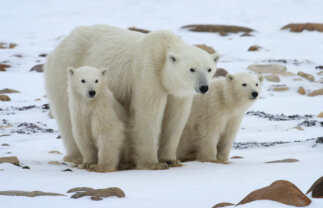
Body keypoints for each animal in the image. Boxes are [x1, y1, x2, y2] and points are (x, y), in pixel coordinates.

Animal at [44, 25, 219, 170]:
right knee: (67, 115)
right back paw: (78, 157)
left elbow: (175, 119)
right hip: (65, 71)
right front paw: (152, 163)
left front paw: (171, 159)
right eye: (192, 69)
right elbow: (147, 115)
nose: (204, 87)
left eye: (209, 69)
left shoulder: (177, 92)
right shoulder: (147, 72)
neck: (163, 50)